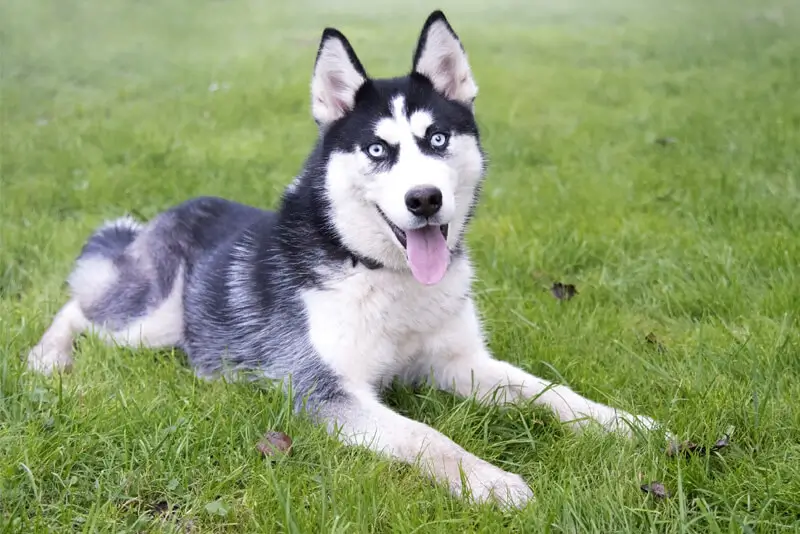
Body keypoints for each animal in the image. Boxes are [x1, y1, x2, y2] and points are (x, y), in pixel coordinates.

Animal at [28, 11, 660, 506]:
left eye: (436, 139)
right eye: (378, 149)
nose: (424, 200)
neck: (384, 275)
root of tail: (178, 207)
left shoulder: (459, 361)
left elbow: (549, 392)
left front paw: (624, 423)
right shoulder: (324, 391)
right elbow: (426, 436)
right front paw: (490, 481)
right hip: (153, 322)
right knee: (80, 305)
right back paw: (48, 358)